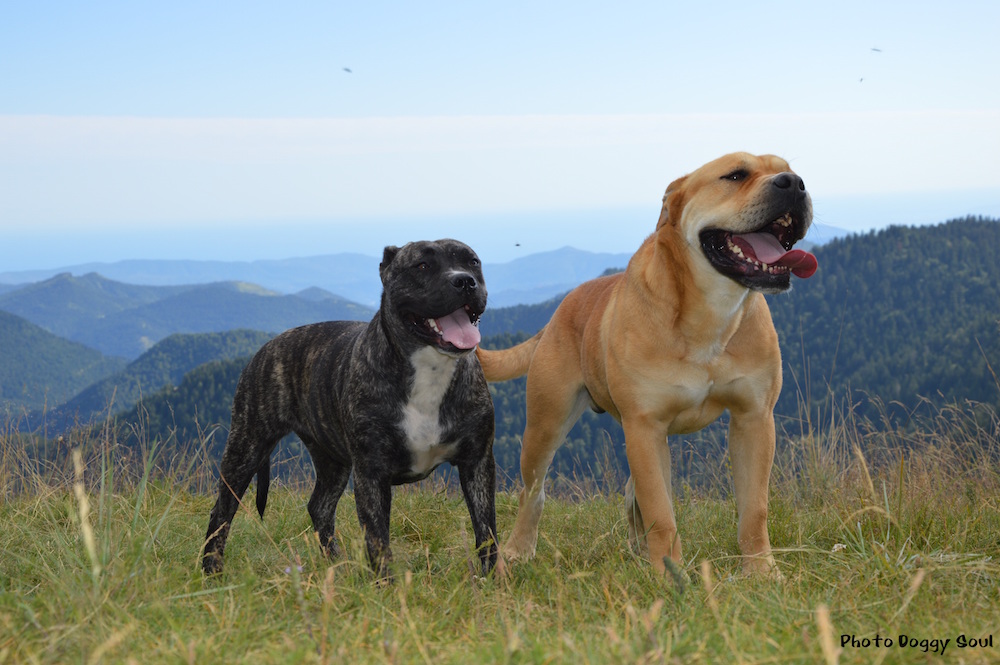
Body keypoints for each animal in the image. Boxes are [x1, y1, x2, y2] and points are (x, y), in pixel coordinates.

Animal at [480, 152, 816, 576]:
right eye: (735, 175)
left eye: (789, 168)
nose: (794, 183)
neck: (709, 315)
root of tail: (559, 311)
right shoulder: (644, 426)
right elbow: (660, 509)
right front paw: (668, 574)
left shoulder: (754, 418)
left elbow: (753, 509)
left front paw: (761, 571)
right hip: (546, 424)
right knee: (533, 492)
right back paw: (518, 549)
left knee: (630, 492)